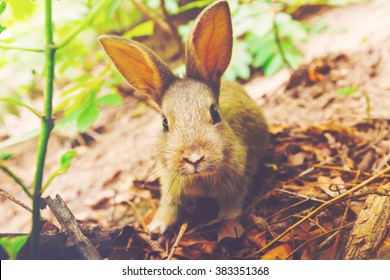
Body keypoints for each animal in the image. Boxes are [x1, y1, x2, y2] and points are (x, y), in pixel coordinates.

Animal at [97, 0, 268, 233]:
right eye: (164, 123)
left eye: (215, 112)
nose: (193, 157)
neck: (200, 177)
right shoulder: (169, 183)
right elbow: (170, 205)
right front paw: (157, 226)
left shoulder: (240, 175)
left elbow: (232, 200)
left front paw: (227, 218)